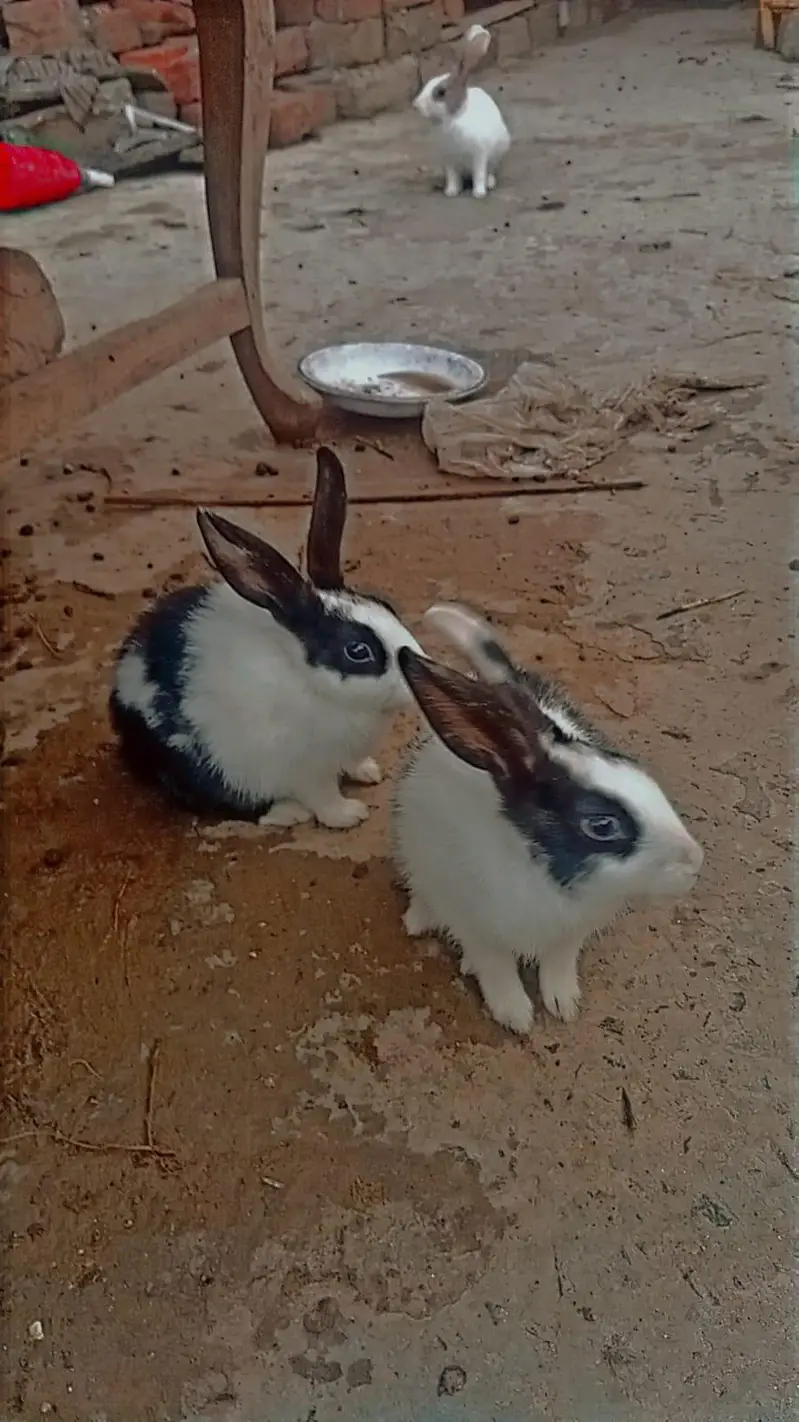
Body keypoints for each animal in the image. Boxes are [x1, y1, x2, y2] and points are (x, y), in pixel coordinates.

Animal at [109, 447, 423, 830]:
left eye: (386, 605)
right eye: (357, 651)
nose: (414, 674)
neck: (309, 681)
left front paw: (368, 772)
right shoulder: (308, 770)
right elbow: (324, 799)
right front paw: (349, 814)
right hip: (206, 765)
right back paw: (287, 812)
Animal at [393, 604, 704, 1034]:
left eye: (641, 774)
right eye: (602, 826)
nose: (695, 862)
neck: (536, 866)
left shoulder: (571, 932)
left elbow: (558, 962)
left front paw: (563, 1002)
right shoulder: (476, 925)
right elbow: (496, 968)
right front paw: (515, 1015)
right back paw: (419, 918)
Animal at [413, 23, 511, 199]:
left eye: (441, 92)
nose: (416, 105)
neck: (453, 118)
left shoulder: (479, 155)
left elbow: (479, 174)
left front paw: (478, 193)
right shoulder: (449, 161)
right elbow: (452, 177)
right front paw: (451, 192)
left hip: (497, 153)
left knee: (490, 171)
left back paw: (490, 183)